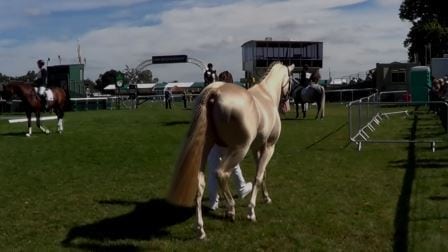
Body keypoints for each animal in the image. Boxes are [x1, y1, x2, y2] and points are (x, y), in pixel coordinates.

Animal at [167, 62, 294, 239]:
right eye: (291, 80)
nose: (287, 105)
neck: (266, 95)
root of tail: (215, 91)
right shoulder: (269, 147)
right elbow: (258, 176)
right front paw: (251, 211)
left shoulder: (256, 148)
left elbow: (263, 173)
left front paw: (266, 198)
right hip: (239, 149)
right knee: (221, 173)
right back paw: (231, 210)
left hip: (207, 148)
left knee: (200, 183)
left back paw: (201, 230)